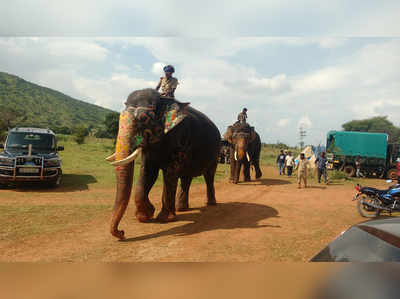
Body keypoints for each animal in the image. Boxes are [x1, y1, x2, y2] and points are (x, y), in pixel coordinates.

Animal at [104, 88, 220, 240]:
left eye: (143, 119)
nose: (122, 233)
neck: (163, 99)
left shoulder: (180, 137)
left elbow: (170, 173)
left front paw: (164, 219)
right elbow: (148, 172)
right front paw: (146, 215)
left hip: (216, 153)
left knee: (209, 176)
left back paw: (210, 204)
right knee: (186, 178)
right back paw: (182, 208)